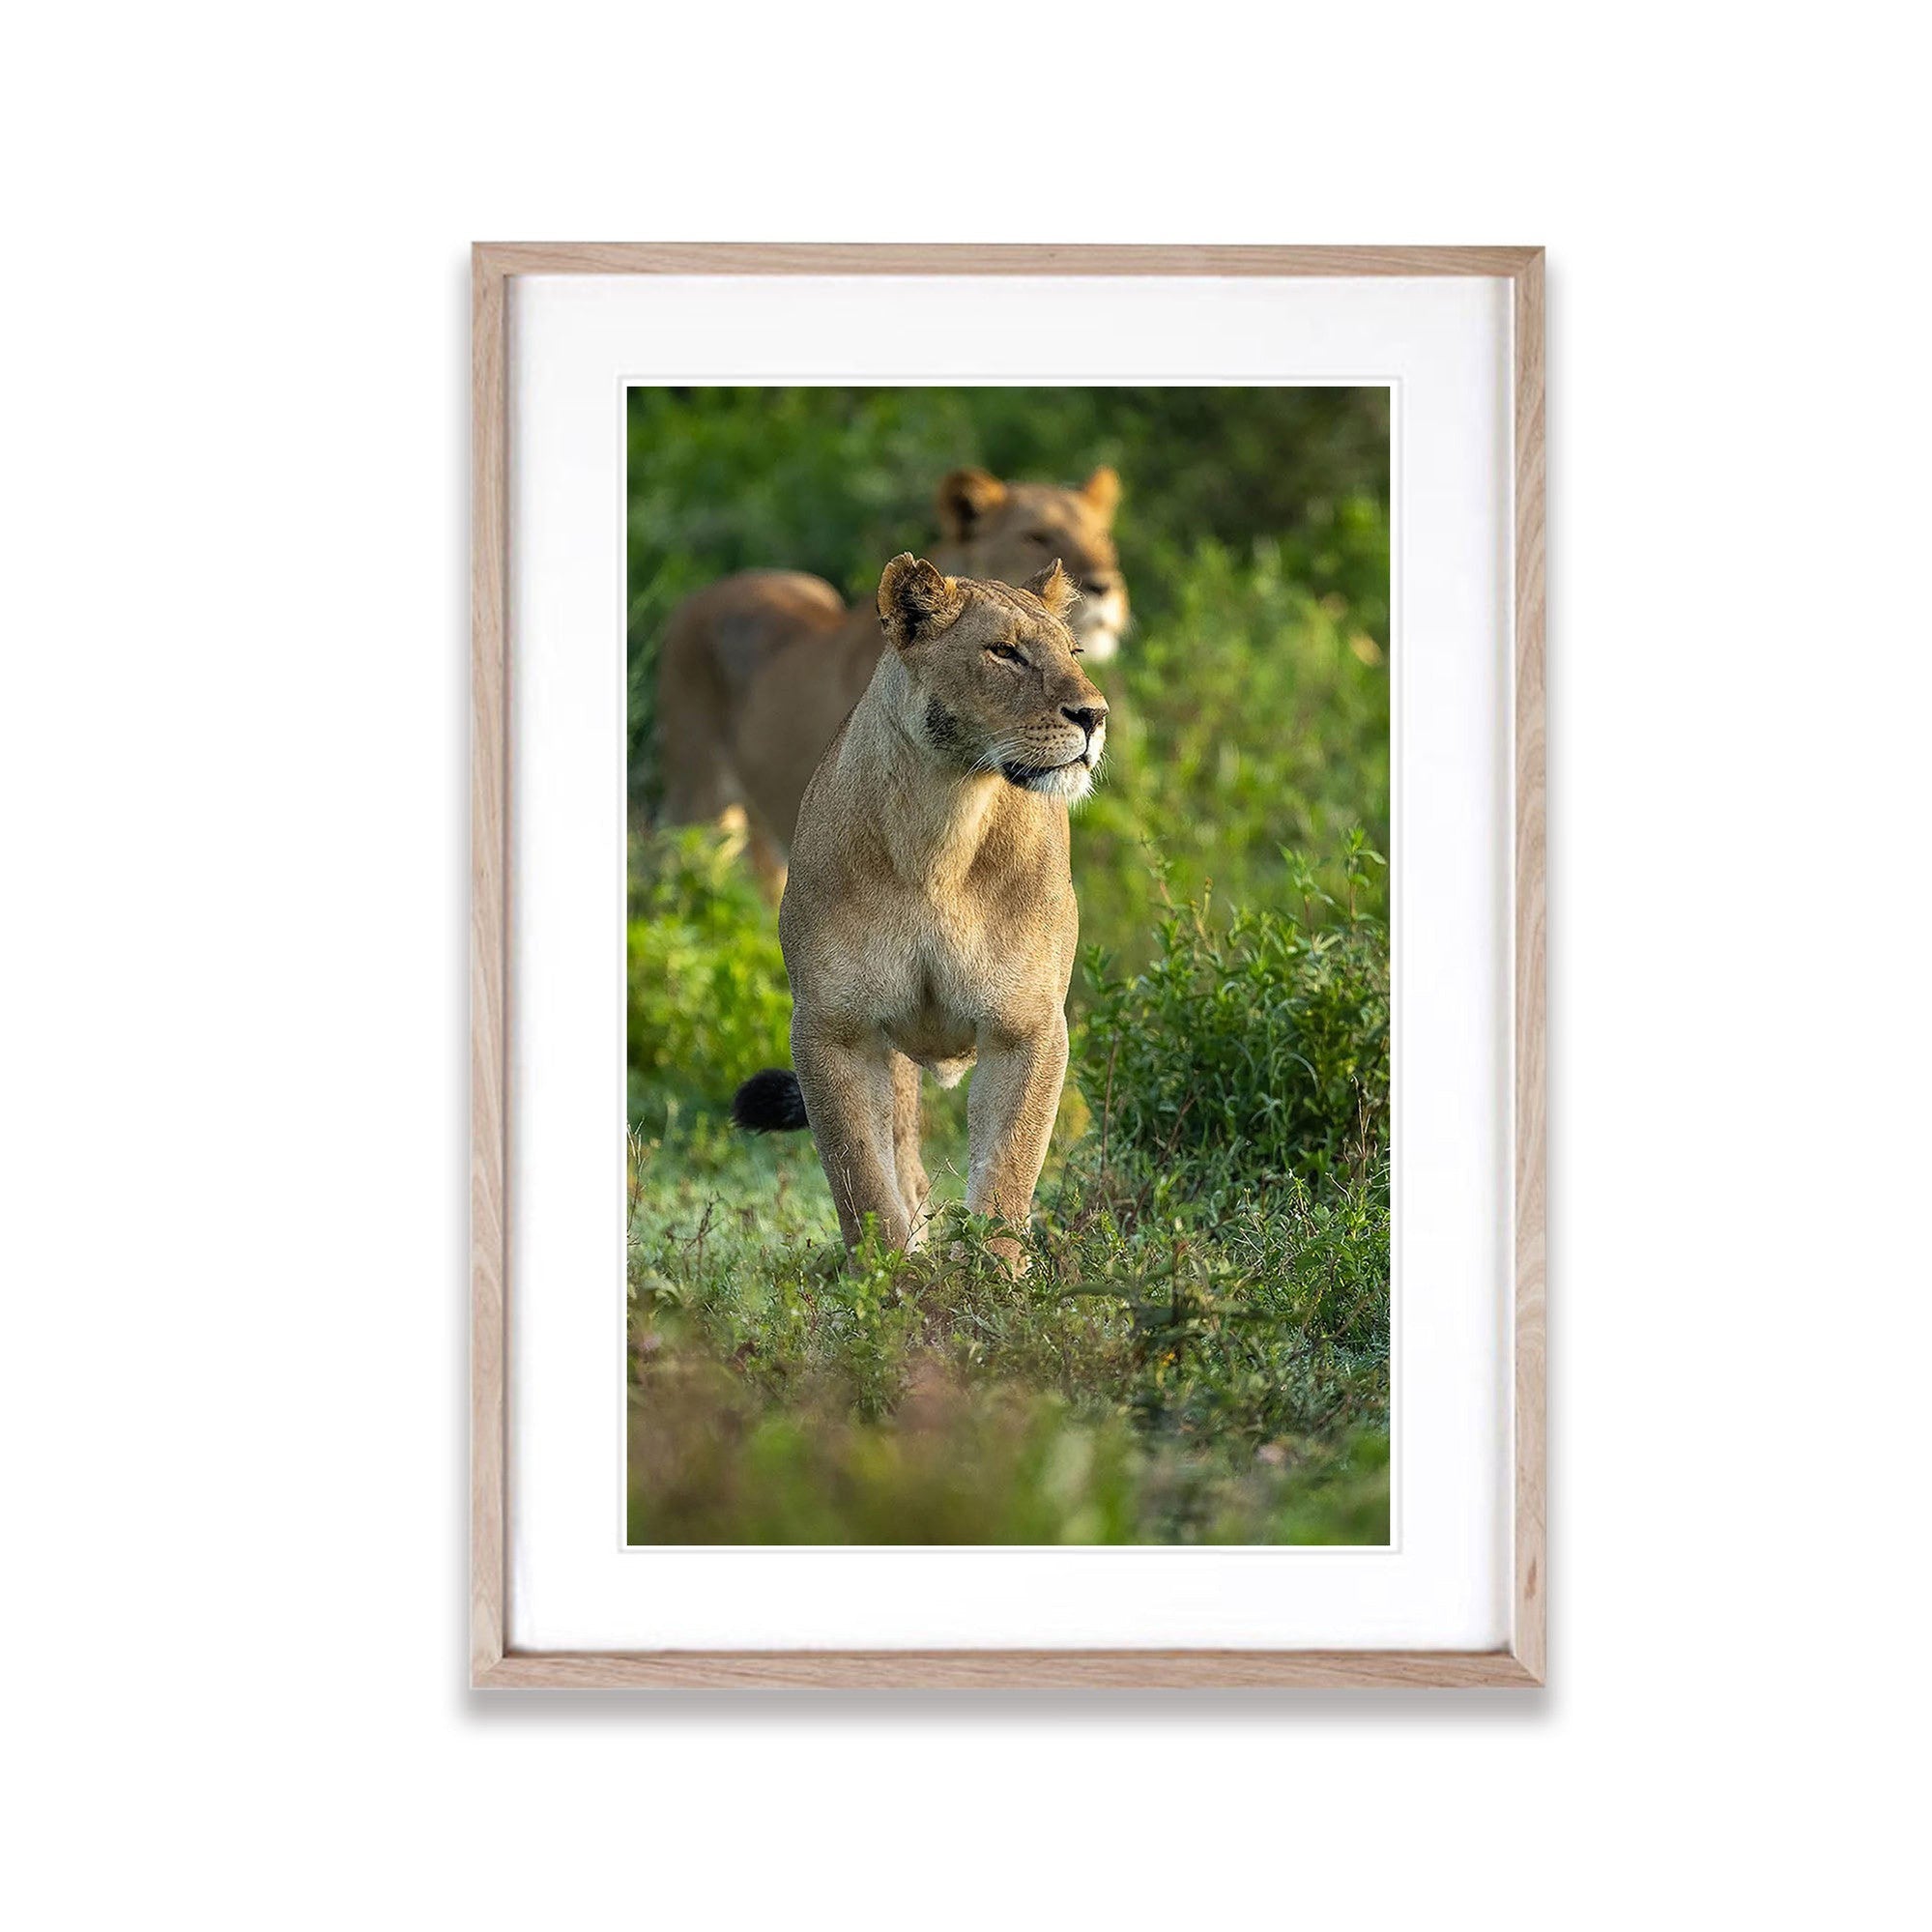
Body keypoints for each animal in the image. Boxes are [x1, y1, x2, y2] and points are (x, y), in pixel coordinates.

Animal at [731, 553, 1108, 1274]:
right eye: (1004, 651)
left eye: (1073, 652)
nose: (1095, 716)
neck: (943, 823)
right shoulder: (834, 1028)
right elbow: (862, 1178)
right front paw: (886, 1282)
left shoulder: (1027, 1026)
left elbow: (1007, 1170)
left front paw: (994, 1281)